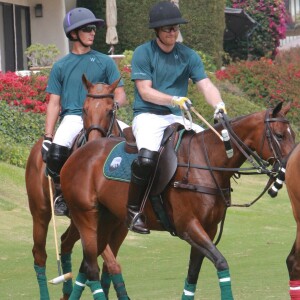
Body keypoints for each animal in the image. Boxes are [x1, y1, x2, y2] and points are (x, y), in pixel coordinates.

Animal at [25, 75, 129, 300]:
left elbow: (107, 267)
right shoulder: (94, 221)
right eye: (84, 109)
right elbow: (111, 264)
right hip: (41, 212)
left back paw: (67, 291)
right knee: (39, 254)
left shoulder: (121, 226)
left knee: (65, 243)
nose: (93, 144)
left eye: (110, 110)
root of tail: (38, 145)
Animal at [61, 102, 296, 298]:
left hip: (109, 220)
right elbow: (221, 263)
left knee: (87, 264)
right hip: (86, 216)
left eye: (292, 135)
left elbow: (192, 275)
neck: (207, 163)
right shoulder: (188, 226)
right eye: (279, 135)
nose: (289, 169)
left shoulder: (208, 229)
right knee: (91, 267)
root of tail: (74, 155)